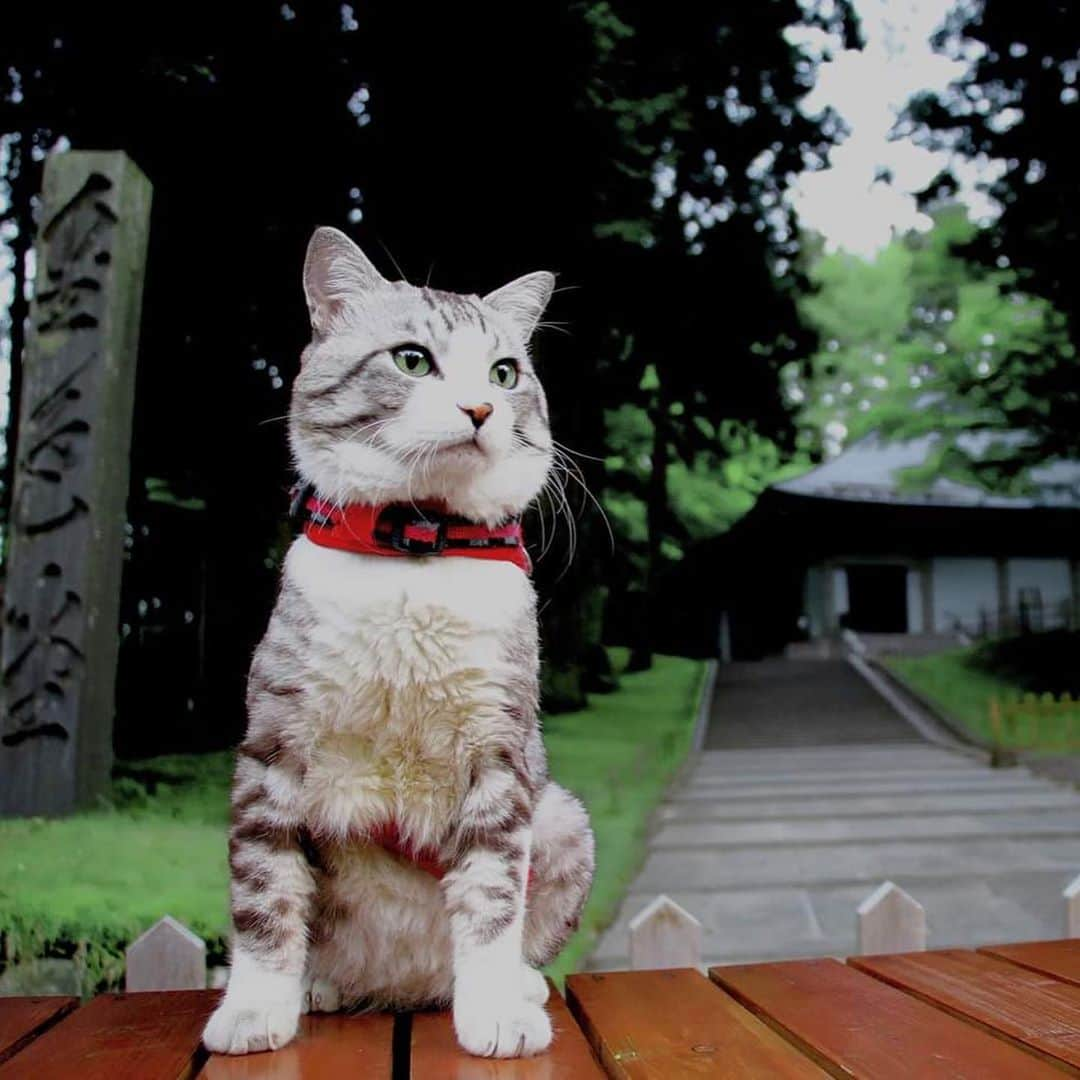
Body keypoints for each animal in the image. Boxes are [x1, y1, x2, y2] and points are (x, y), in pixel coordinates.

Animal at [198, 223, 596, 1058]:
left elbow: (491, 898)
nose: (481, 406)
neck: (419, 548)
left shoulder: (500, 755)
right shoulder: (272, 750)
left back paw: (516, 986)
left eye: (506, 371)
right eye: (412, 359)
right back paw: (320, 988)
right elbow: (263, 895)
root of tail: (406, 990)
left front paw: (496, 1013)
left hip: (562, 818)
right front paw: (254, 1011)